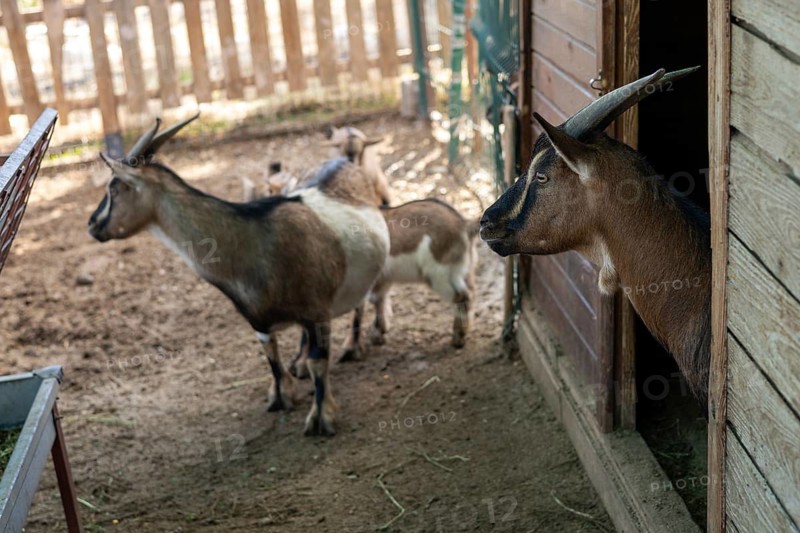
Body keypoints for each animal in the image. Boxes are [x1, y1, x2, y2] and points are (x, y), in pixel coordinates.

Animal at [88, 115, 390, 436]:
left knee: (360, 303)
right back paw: (300, 361)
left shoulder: (317, 311)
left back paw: (353, 346)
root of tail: (344, 162)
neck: (253, 239)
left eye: (114, 188)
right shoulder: (258, 320)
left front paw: (322, 419)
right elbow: (271, 355)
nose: (92, 224)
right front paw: (280, 396)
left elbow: (318, 363)